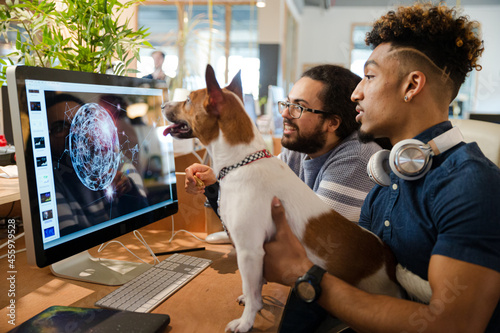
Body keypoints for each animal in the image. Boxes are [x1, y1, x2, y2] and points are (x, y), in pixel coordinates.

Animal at [163, 64, 402, 330]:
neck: (241, 162)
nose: (162, 105)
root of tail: (388, 262)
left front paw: (246, 321)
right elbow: (254, 286)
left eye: (187, 100)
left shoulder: (249, 251)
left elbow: (251, 287)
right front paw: (253, 303)